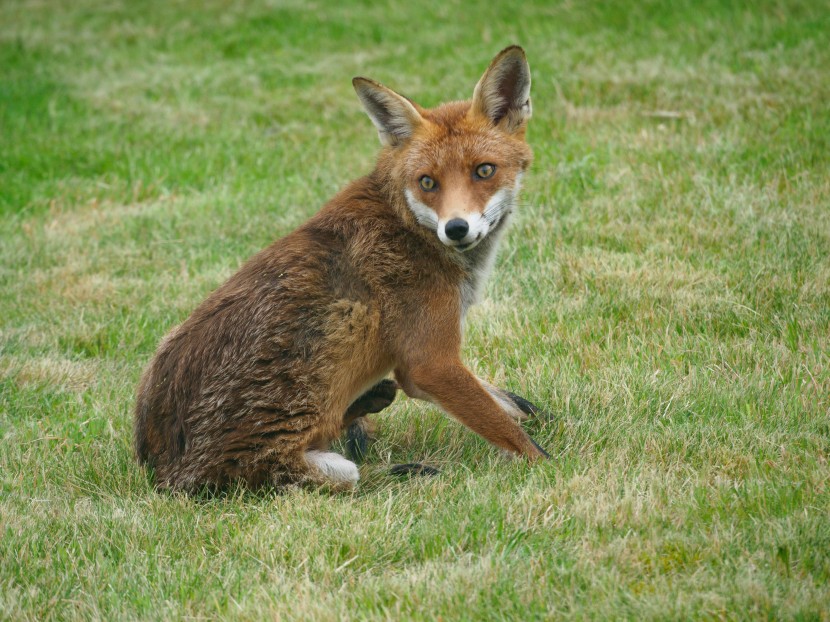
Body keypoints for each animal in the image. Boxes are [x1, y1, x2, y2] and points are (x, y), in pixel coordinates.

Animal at [135, 46, 552, 494]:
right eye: (427, 182)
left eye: (484, 170)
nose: (456, 228)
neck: (408, 225)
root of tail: (159, 473)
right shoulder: (430, 364)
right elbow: (516, 437)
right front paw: (553, 468)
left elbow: (506, 405)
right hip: (301, 462)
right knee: (349, 473)